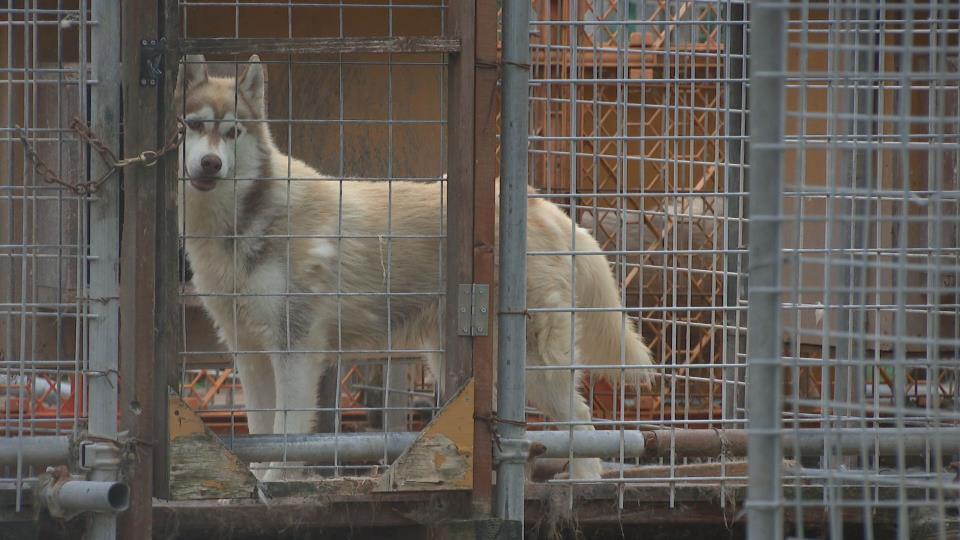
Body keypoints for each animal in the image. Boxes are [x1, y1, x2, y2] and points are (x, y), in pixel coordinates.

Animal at [174, 54, 652, 480]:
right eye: (194, 125)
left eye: (233, 132)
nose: (211, 164)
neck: (247, 220)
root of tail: (543, 206)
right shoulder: (250, 352)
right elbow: (261, 436)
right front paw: (255, 480)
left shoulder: (296, 351)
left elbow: (286, 438)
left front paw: (275, 483)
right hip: (461, 364)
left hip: (535, 368)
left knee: (582, 423)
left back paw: (584, 487)